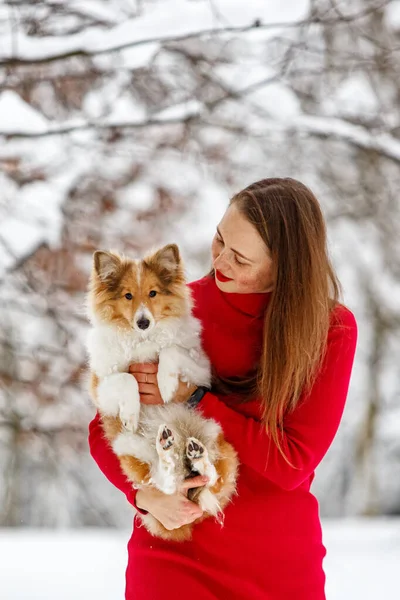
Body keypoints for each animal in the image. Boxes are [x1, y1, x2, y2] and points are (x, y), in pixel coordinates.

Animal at [86, 241, 239, 540]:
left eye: (153, 293)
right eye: (128, 296)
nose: (143, 322)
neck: (142, 340)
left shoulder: (200, 369)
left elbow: (170, 351)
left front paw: (165, 385)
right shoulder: (102, 386)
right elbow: (127, 378)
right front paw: (131, 414)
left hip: (217, 437)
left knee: (213, 477)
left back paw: (195, 454)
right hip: (128, 448)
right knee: (165, 482)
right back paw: (168, 447)